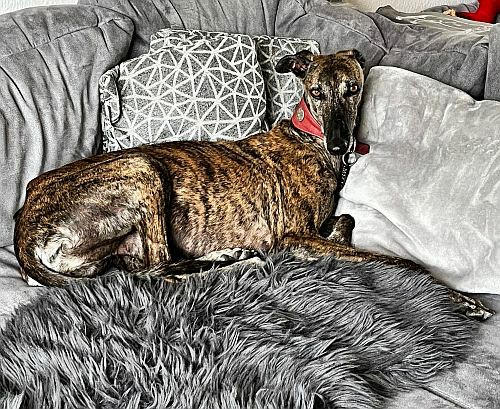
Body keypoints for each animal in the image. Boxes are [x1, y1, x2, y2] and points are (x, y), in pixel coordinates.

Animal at [13, 49, 494, 319]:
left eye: (353, 89)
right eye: (317, 92)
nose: (341, 144)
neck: (310, 136)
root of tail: (23, 229)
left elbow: (347, 219)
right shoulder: (292, 235)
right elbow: (395, 261)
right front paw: (460, 299)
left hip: (116, 243)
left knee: (150, 269)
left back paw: (229, 257)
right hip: (142, 168)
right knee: (160, 269)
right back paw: (238, 261)